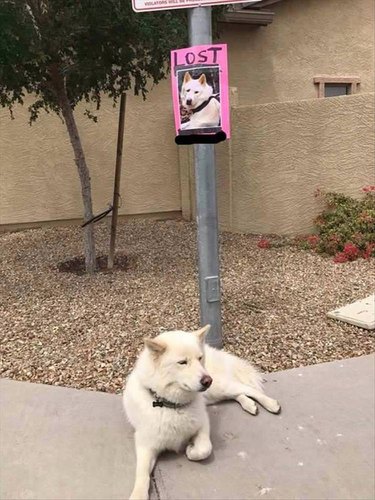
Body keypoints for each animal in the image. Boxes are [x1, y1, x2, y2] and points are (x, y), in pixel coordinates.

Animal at [124, 324, 282, 500]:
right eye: (182, 362)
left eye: (199, 358)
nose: (207, 380)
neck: (173, 405)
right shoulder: (145, 444)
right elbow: (142, 474)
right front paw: (138, 495)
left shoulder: (203, 423)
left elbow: (205, 449)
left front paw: (191, 450)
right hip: (214, 394)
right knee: (238, 394)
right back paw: (249, 404)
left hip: (219, 388)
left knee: (247, 389)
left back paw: (270, 403)